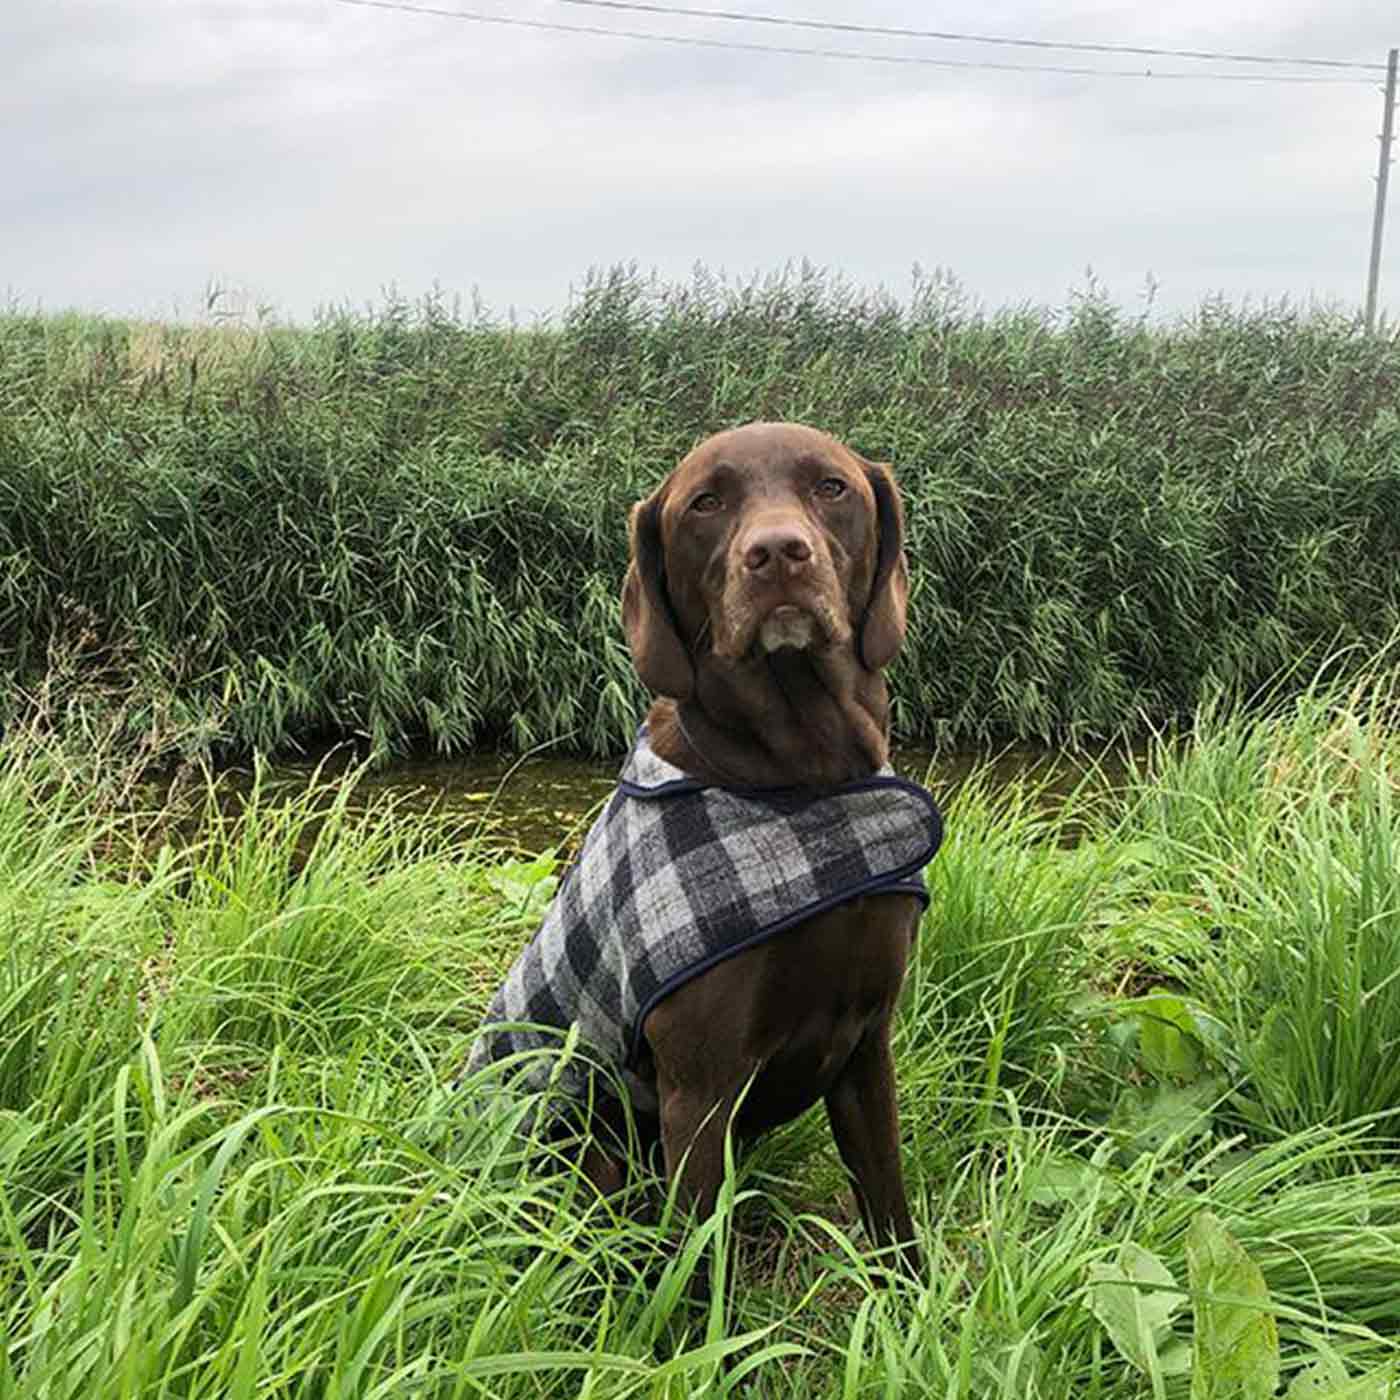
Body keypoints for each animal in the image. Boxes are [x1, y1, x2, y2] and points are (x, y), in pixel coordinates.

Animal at [616, 417, 929, 1271]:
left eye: (831, 487)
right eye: (706, 503)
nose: (779, 553)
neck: (802, 785)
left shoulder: (867, 1048)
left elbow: (890, 1211)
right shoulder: (699, 1090)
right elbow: (697, 1270)